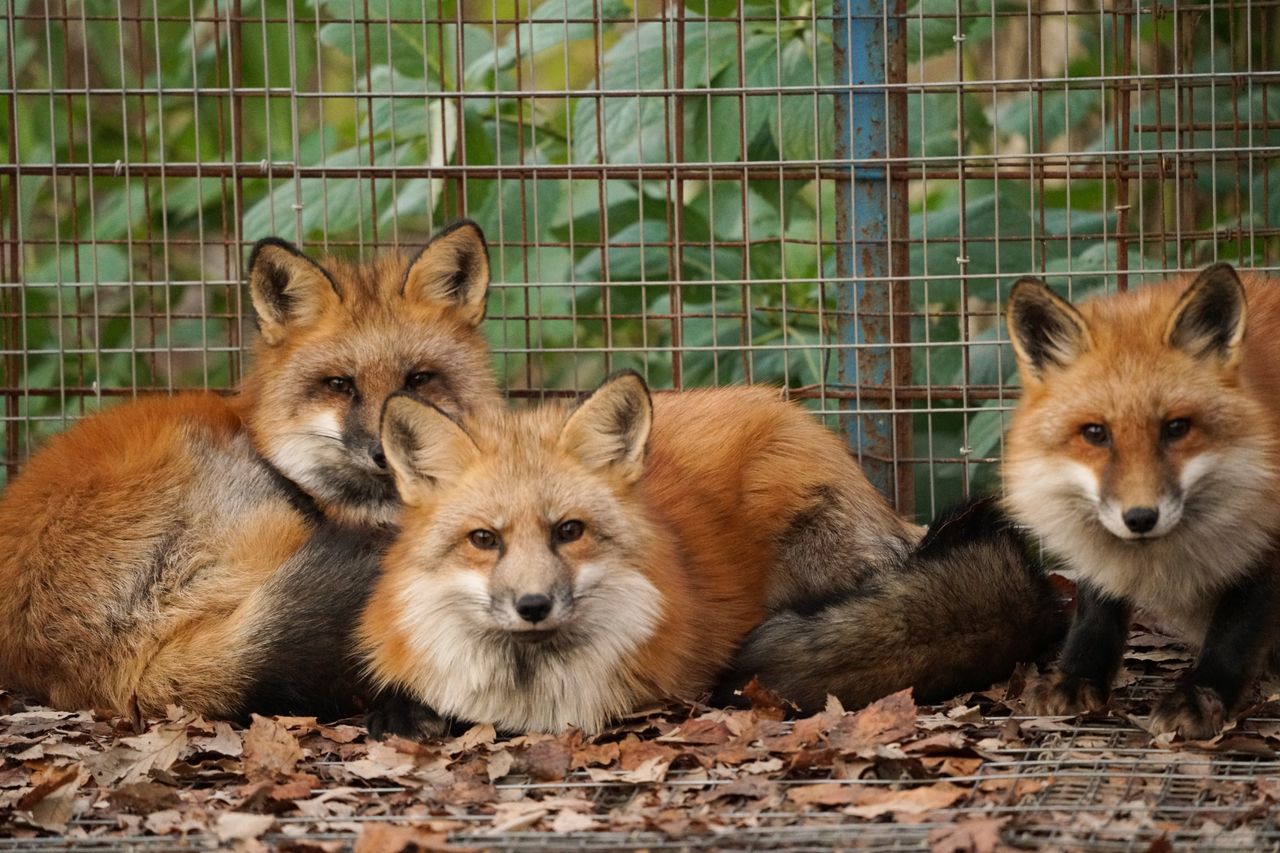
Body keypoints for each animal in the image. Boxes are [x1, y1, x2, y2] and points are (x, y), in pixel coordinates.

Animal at [1003, 263, 1280, 737]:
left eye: (1177, 428)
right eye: (1095, 433)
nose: (1140, 518)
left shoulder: (1265, 543)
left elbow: (1234, 635)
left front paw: (1199, 698)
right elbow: (1095, 614)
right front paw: (1076, 678)